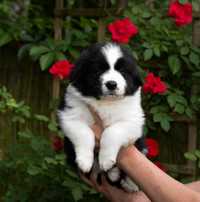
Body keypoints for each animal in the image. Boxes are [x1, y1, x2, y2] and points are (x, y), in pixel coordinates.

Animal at [57, 42, 145, 191]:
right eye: (98, 71)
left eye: (122, 72)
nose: (111, 84)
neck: (106, 103)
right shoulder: (70, 115)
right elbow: (84, 133)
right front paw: (85, 161)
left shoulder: (133, 121)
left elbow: (112, 131)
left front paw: (106, 160)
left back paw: (128, 182)